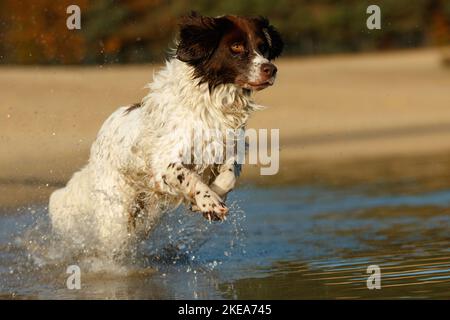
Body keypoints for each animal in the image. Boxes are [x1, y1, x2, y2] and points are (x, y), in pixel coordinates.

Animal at [48, 11, 282, 252]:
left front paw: (210, 201)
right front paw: (208, 201)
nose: (271, 69)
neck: (213, 101)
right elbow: (187, 176)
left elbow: (228, 177)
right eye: (236, 46)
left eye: (263, 47)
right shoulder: (164, 161)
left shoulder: (229, 147)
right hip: (116, 213)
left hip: (147, 213)